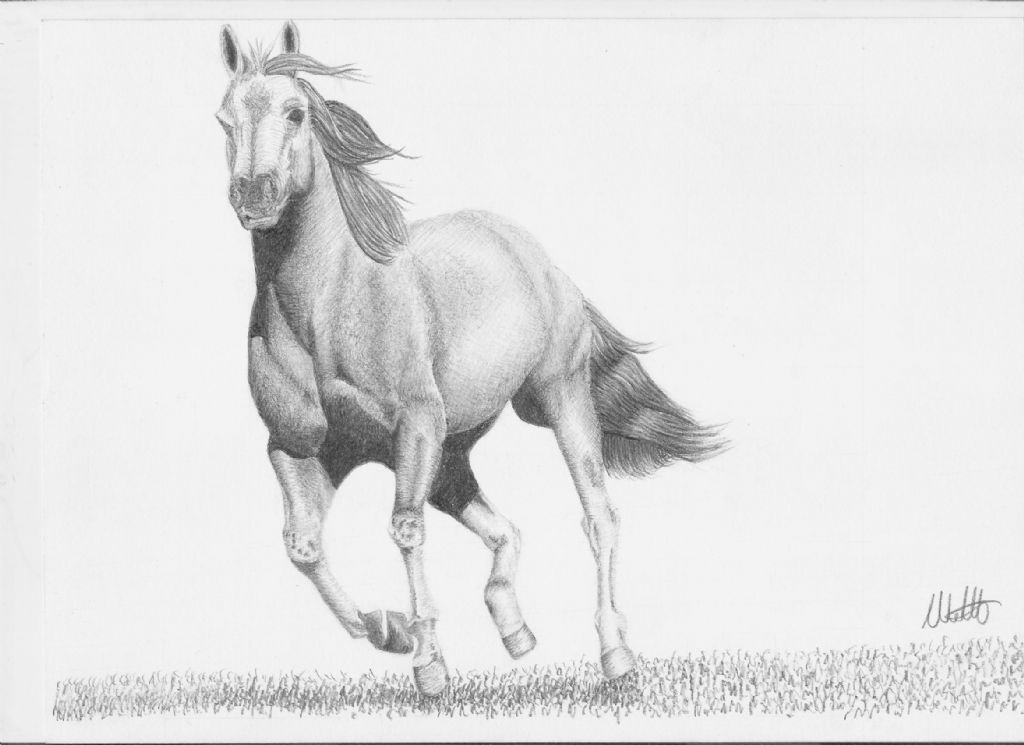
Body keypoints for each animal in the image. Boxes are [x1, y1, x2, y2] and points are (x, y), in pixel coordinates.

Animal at [216, 21, 726, 697]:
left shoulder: (414, 430)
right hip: (451, 456)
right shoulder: (302, 449)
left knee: (599, 518)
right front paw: (390, 629)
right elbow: (303, 547)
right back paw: (515, 631)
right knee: (506, 529)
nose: (254, 195)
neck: (328, 308)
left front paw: (429, 664)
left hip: (558, 401)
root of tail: (540, 261)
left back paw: (615, 654)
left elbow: (404, 531)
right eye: (224, 119)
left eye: (295, 112)